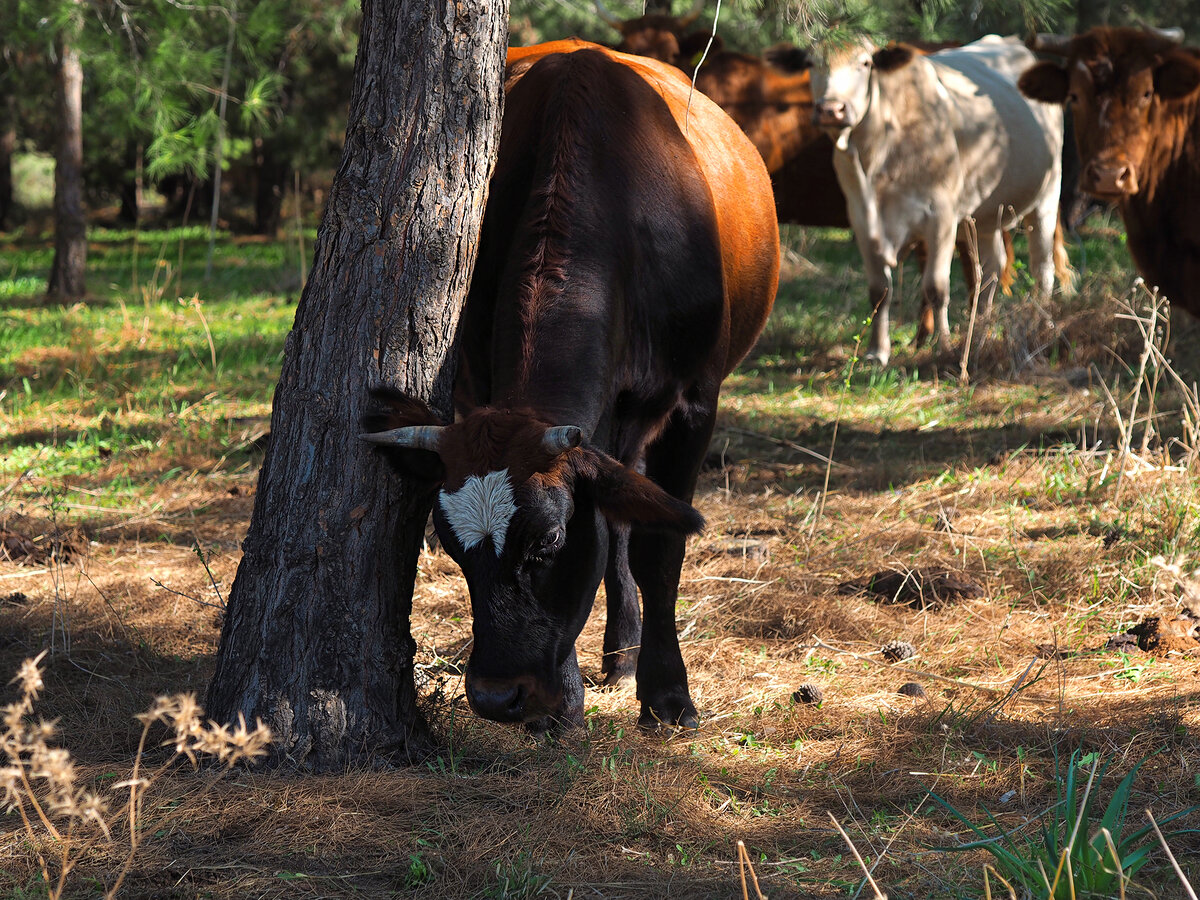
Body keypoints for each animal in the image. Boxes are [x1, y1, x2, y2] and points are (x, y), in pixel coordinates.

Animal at [360, 40, 782, 734]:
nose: (496, 698)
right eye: (452, 551)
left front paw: (668, 694)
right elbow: (614, 527)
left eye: (549, 542)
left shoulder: (694, 402)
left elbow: (660, 546)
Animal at [806, 35, 1070, 367]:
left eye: (864, 63)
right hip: (984, 215)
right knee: (991, 269)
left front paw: (943, 345)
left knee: (1042, 266)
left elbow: (936, 287)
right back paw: (981, 329)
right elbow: (879, 290)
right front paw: (877, 351)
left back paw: (1042, 323)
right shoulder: (862, 221)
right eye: (811, 63)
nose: (831, 109)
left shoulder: (941, 218)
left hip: (1047, 194)